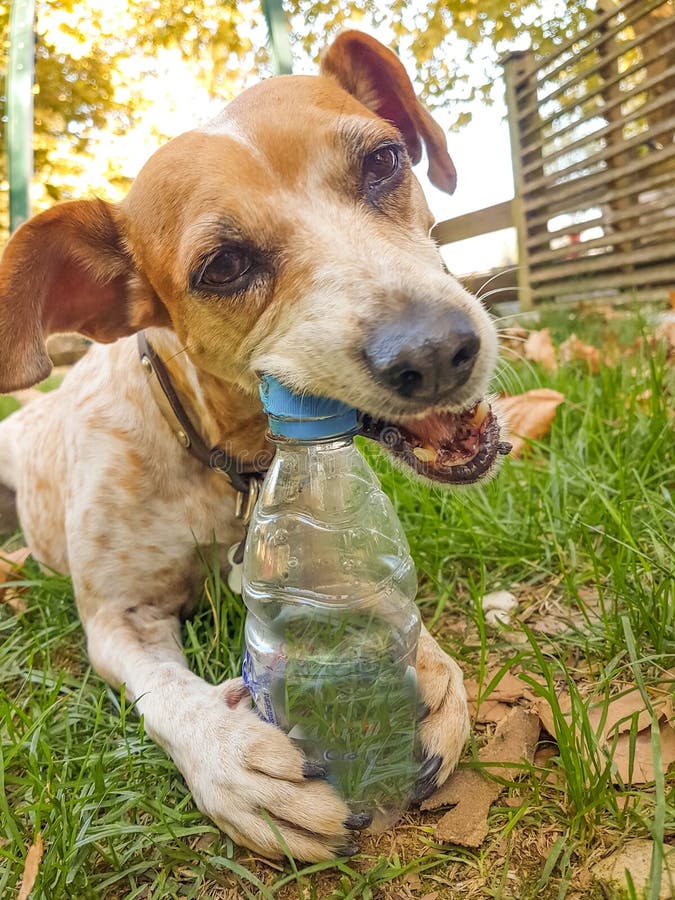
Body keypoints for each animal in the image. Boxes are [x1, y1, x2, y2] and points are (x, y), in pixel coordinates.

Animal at [0, 31, 504, 860]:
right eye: (224, 266)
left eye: (383, 162)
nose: (434, 353)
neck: (220, 456)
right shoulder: (118, 617)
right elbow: (170, 693)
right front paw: (235, 761)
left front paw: (427, 669)